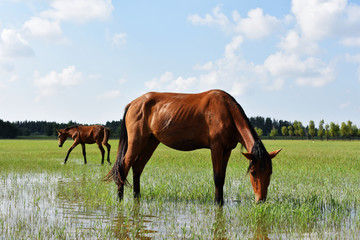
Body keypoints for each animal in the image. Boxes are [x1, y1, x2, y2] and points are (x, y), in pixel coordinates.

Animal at [104, 90, 282, 204]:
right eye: (252, 172)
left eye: (270, 172)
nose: (261, 200)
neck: (227, 112)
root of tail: (133, 103)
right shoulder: (216, 147)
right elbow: (217, 177)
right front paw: (217, 203)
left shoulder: (227, 150)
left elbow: (223, 177)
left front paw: (221, 201)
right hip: (137, 141)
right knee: (124, 166)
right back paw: (120, 199)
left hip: (151, 142)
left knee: (137, 167)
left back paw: (137, 197)